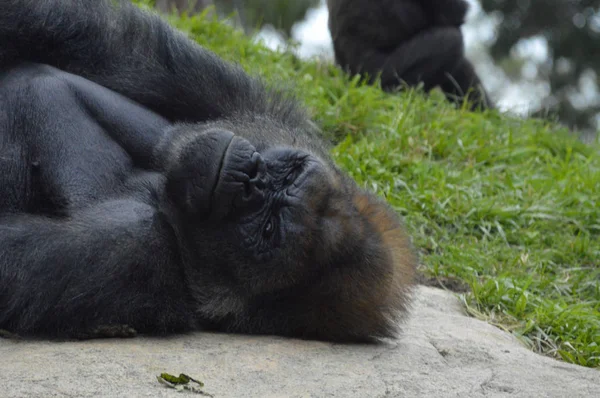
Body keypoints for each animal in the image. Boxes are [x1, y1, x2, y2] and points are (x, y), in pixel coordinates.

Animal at [0, 0, 418, 342]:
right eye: (289, 171)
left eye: (268, 229)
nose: (249, 177)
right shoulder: (254, 109)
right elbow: (100, 41)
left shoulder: (132, 247)